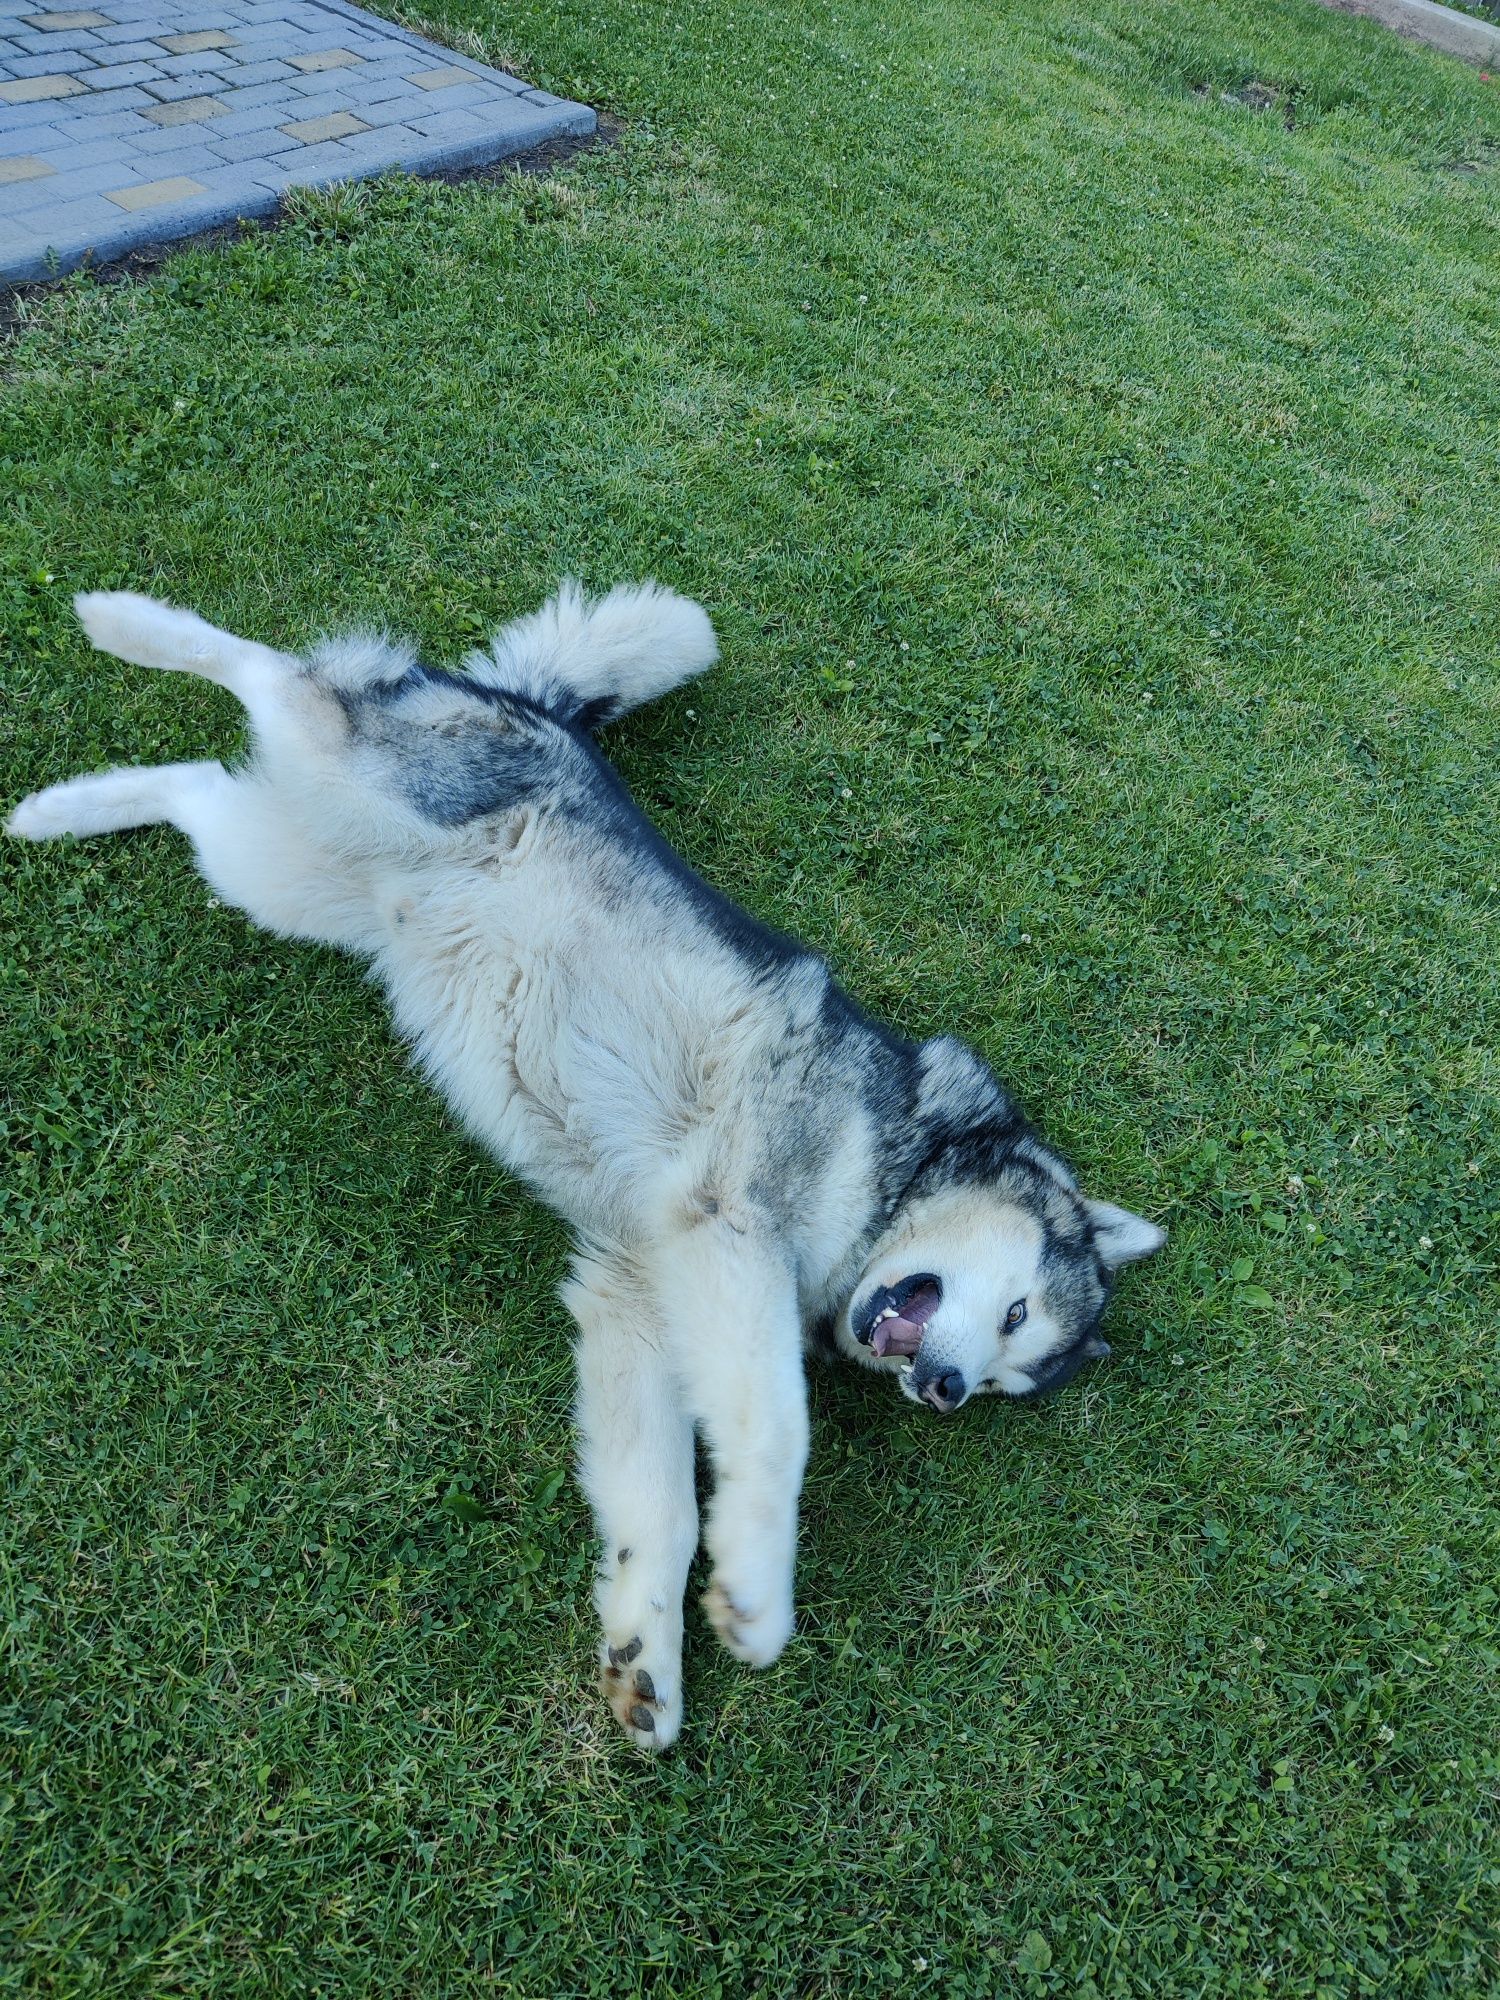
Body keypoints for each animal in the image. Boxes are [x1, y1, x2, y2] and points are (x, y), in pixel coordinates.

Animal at [5, 584, 1168, 1752]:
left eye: (1007, 1377)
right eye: (1017, 1313)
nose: (944, 1390)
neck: (893, 1161)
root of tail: (543, 713)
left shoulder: (636, 1300)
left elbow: (658, 1504)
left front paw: (648, 1652)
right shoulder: (728, 1227)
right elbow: (776, 1432)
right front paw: (759, 1590)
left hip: (281, 874)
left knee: (199, 782)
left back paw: (61, 807)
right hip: (360, 775)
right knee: (270, 670)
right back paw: (126, 623)